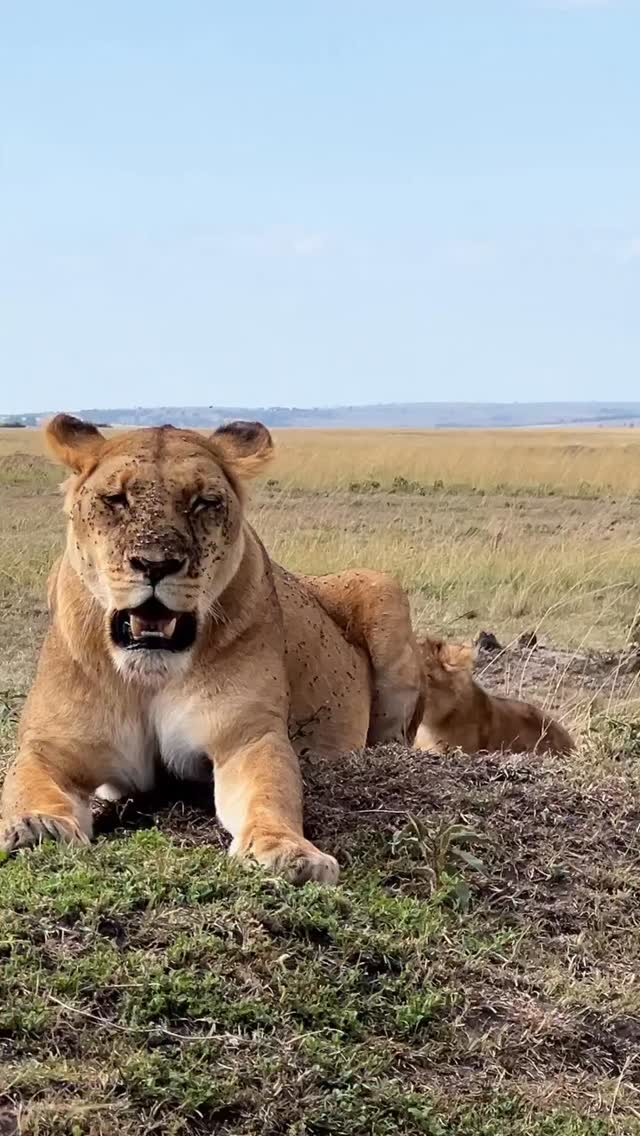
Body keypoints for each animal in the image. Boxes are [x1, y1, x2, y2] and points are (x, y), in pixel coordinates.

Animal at [0, 415, 424, 884]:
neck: (149, 677)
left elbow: (270, 793)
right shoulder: (51, 746)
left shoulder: (246, 736)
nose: (155, 564)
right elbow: (26, 786)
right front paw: (37, 828)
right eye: (116, 499)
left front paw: (288, 852)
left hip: (383, 588)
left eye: (204, 502)